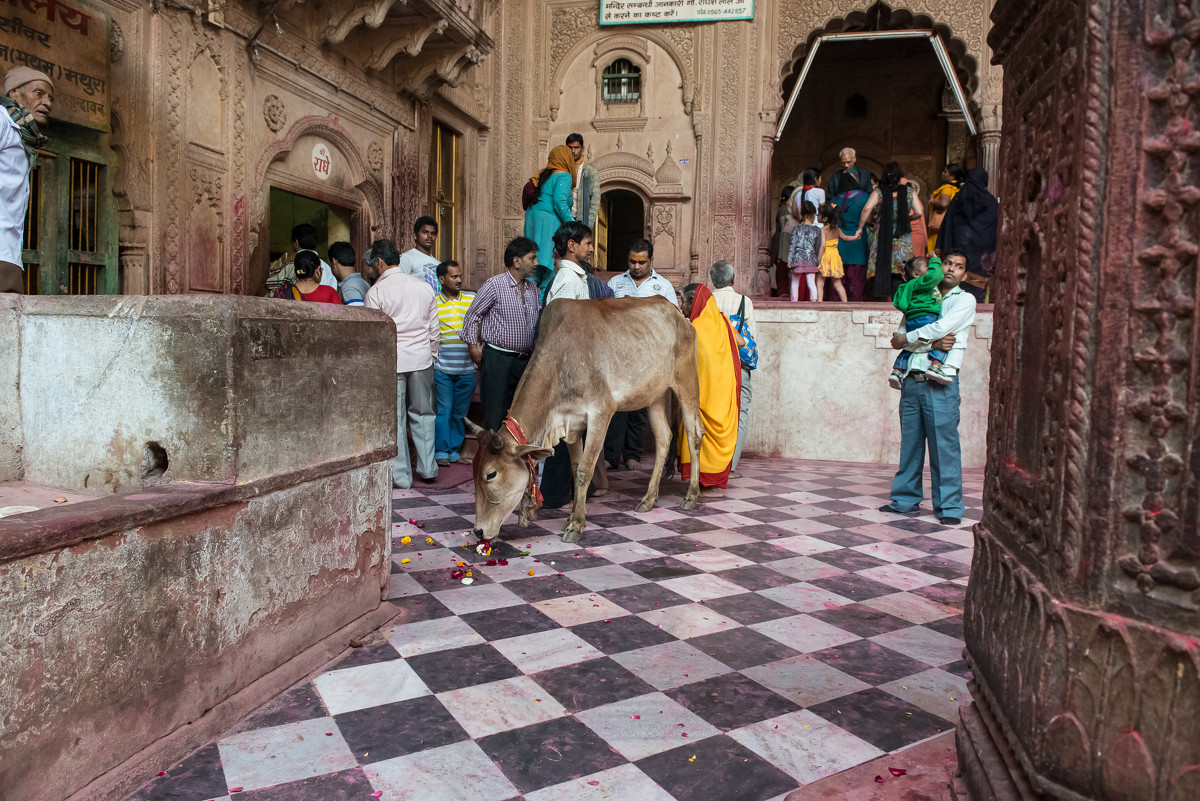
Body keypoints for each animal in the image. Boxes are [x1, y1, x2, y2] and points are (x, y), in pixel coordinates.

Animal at [460, 297, 700, 546]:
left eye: (491, 474)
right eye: (474, 471)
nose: (478, 531)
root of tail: (677, 313)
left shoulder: (601, 412)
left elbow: (585, 470)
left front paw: (575, 525)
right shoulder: (572, 425)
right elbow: (576, 470)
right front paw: (573, 516)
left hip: (687, 382)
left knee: (694, 436)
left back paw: (691, 495)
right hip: (654, 397)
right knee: (664, 438)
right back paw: (649, 498)